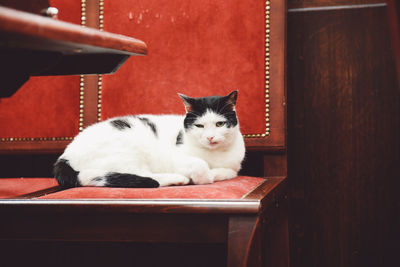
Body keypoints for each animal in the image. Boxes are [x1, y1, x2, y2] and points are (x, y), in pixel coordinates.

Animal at [53, 91, 245, 189]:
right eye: (199, 126)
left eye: (220, 124)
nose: (210, 137)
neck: (213, 155)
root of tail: (65, 156)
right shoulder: (177, 157)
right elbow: (200, 165)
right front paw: (203, 177)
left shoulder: (234, 167)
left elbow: (229, 172)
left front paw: (214, 174)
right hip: (128, 152)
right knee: (146, 176)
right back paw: (178, 178)